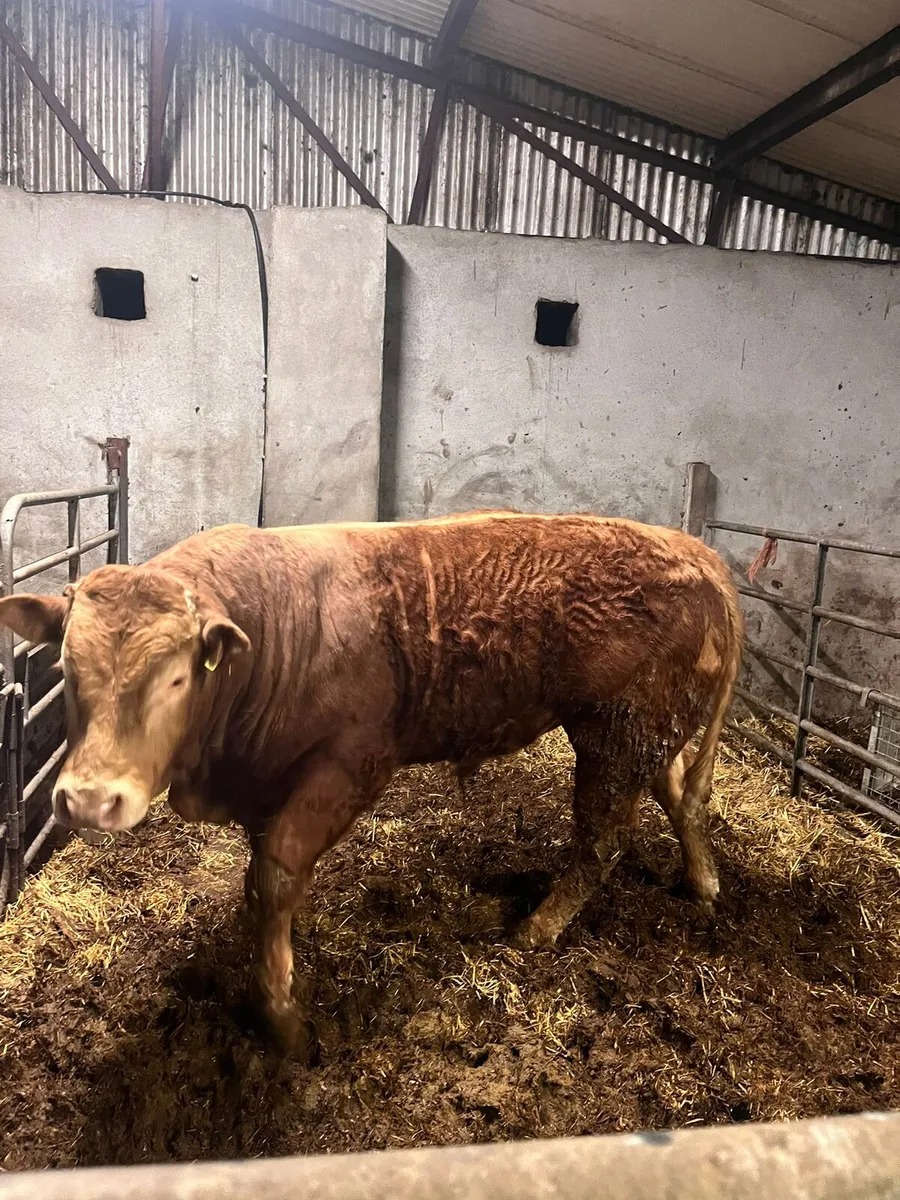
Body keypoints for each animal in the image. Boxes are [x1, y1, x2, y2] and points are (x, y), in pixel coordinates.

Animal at [0, 512, 742, 1055]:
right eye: (65, 667)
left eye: (178, 677)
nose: (89, 799)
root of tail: (694, 551)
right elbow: (258, 877)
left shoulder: (349, 764)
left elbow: (276, 875)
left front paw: (282, 1017)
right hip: (646, 732)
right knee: (681, 795)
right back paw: (703, 884)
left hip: (615, 735)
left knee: (604, 837)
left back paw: (539, 927)